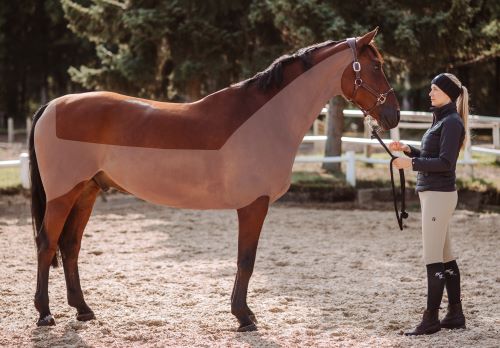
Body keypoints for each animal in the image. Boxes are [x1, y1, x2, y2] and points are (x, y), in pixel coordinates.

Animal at [30, 28, 398, 330]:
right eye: (376, 67)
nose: (393, 115)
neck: (264, 119)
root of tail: (52, 105)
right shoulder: (254, 205)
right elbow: (246, 261)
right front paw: (244, 317)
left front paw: (243, 313)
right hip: (63, 195)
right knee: (47, 244)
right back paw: (45, 314)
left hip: (86, 192)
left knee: (70, 246)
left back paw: (83, 310)